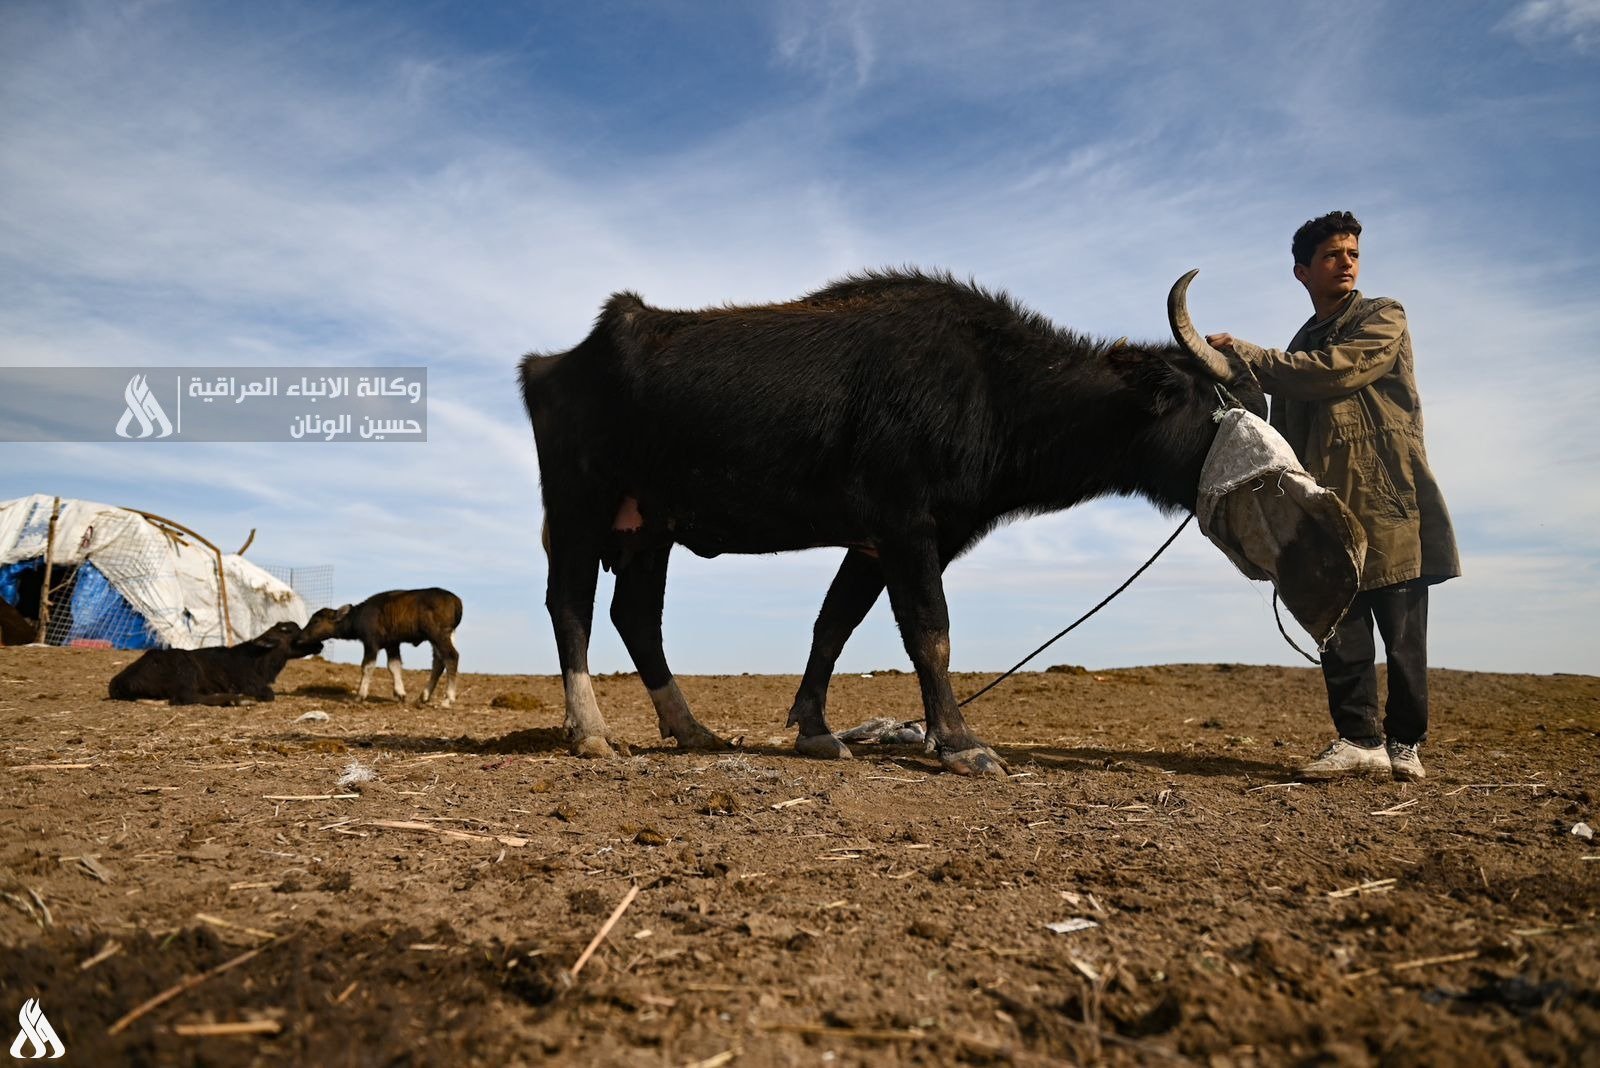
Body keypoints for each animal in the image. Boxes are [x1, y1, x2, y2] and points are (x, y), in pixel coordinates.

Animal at [107, 620, 324, 703]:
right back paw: (231, 699)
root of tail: (119, 681)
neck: (260, 663)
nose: (320, 645)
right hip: (186, 668)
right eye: (290, 631)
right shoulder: (251, 684)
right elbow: (268, 694)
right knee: (184, 697)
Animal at [300, 588, 464, 703]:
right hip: (444, 636)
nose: (301, 638)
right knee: (439, 662)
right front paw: (400, 694)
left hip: (438, 635)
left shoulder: (371, 643)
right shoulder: (392, 644)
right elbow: (394, 666)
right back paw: (424, 696)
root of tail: (455, 600)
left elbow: (367, 667)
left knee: (451, 656)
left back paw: (448, 698)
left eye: (316, 621)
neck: (359, 616)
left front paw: (360, 695)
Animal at [521, 267, 1260, 777]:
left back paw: (693, 729)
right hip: (581, 504)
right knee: (571, 605)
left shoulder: (884, 541)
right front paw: (961, 744)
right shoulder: (907, 526)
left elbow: (834, 624)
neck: (993, 387)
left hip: (650, 528)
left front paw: (816, 729)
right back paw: (590, 731)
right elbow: (931, 632)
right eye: (1214, 403)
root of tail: (555, 363)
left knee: (636, 617)